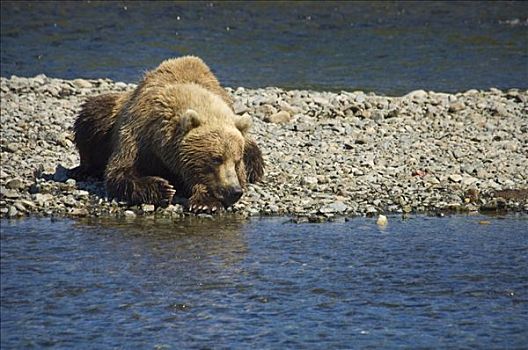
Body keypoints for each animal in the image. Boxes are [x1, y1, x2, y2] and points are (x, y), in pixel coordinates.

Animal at [71, 56, 264, 212]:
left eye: (237, 161)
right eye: (216, 158)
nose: (234, 191)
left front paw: (205, 203)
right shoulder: (137, 134)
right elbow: (119, 172)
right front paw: (164, 189)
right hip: (107, 116)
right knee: (91, 115)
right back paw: (83, 169)